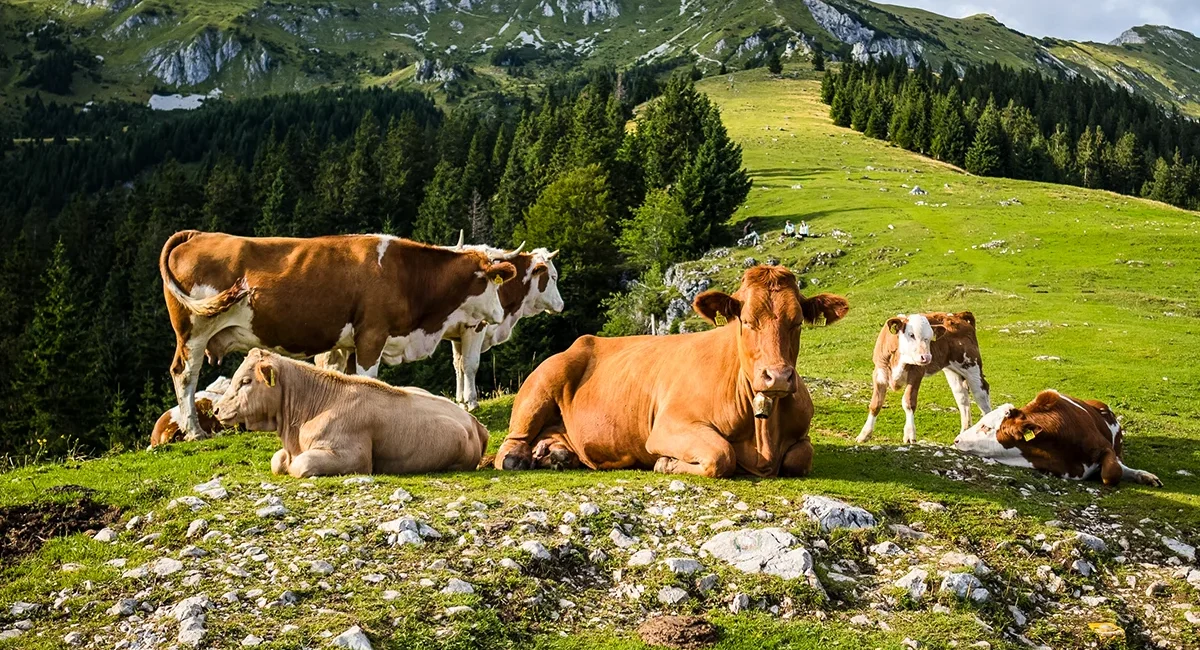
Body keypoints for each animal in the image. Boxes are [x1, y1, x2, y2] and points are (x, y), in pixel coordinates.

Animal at [159, 231, 518, 440]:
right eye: (491, 281)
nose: (500, 314)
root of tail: (198, 234)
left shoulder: (352, 343)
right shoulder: (372, 333)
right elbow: (369, 378)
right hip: (193, 331)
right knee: (184, 374)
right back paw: (194, 431)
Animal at [213, 349, 489, 477]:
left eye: (246, 381)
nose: (216, 409)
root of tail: (474, 422)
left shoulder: (354, 457)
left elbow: (300, 465)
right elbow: (276, 461)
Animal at [493, 265, 849, 478]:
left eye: (797, 322)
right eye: (747, 321)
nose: (777, 376)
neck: (764, 436)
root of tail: (580, 342)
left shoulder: (801, 436)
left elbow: (800, 457)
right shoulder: (668, 426)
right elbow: (721, 454)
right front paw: (666, 463)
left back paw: (556, 455)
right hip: (542, 383)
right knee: (508, 448)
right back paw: (521, 458)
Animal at [857, 311, 991, 444]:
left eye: (930, 338)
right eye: (911, 335)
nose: (926, 357)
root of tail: (957, 315)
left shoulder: (916, 373)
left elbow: (908, 402)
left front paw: (909, 434)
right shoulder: (879, 371)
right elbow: (876, 404)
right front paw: (864, 434)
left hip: (972, 367)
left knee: (981, 395)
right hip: (953, 372)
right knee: (962, 398)